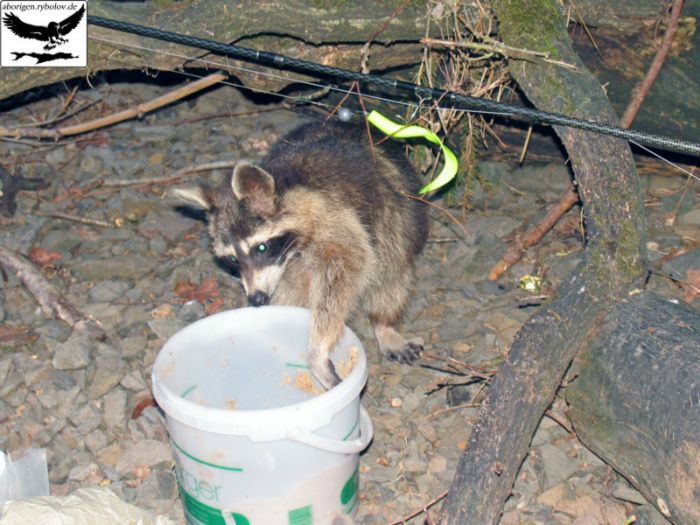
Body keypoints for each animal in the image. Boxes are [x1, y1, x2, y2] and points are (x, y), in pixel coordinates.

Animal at [174, 118, 426, 388]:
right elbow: (290, 289)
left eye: (261, 248)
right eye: (232, 258)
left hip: (398, 223)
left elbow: (349, 264)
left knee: (390, 276)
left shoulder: (335, 218)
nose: (256, 299)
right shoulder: (287, 265)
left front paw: (318, 347)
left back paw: (383, 322)